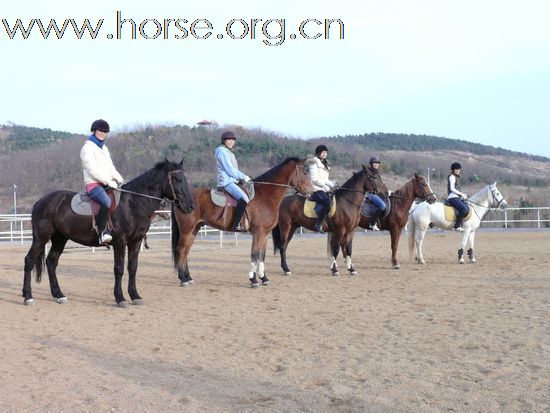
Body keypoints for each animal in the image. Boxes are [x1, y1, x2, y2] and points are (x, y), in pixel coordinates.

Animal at [22, 160, 195, 306]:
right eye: (178, 179)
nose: (190, 207)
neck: (132, 204)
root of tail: (40, 202)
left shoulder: (136, 241)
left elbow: (133, 267)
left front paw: (135, 296)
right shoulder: (120, 241)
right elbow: (118, 269)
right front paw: (120, 298)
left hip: (60, 239)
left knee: (51, 262)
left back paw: (59, 295)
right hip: (41, 238)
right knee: (29, 260)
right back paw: (28, 296)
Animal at [171, 156, 314, 288]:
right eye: (305, 172)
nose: (311, 192)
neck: (266, 195)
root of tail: (180, 200)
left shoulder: (265, 233)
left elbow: (262, 255)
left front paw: (264, 278)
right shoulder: (258, 232)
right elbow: (254, 254)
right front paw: (253, 280)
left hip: (194, 229)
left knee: (186, 251)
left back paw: (188, 277)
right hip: (186, 230)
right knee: (181, 250)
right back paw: (183, 279)